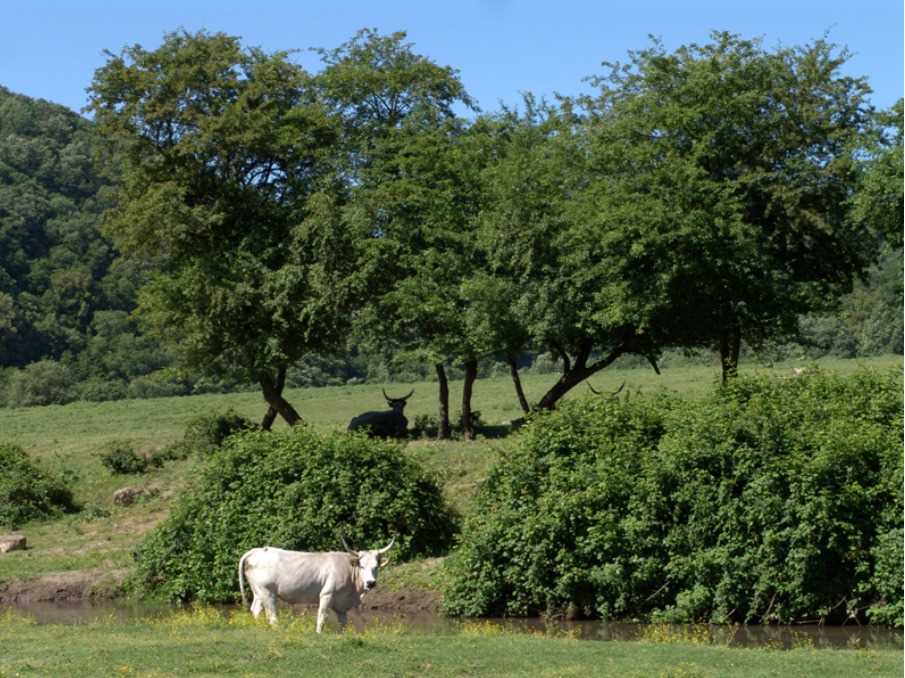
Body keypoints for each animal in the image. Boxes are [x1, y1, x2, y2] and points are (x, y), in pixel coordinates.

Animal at [238, 540, 394, 636]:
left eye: (376, 567)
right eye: (362, 566)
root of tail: (258, 550)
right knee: (272, 615)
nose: (371, 583)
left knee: (255, 609)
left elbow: (343, 622)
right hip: (267, 592)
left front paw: (342, 634)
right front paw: (319, 633)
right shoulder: (327, 594)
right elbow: (322, 616)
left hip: (258, 592)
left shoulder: (341, 604)